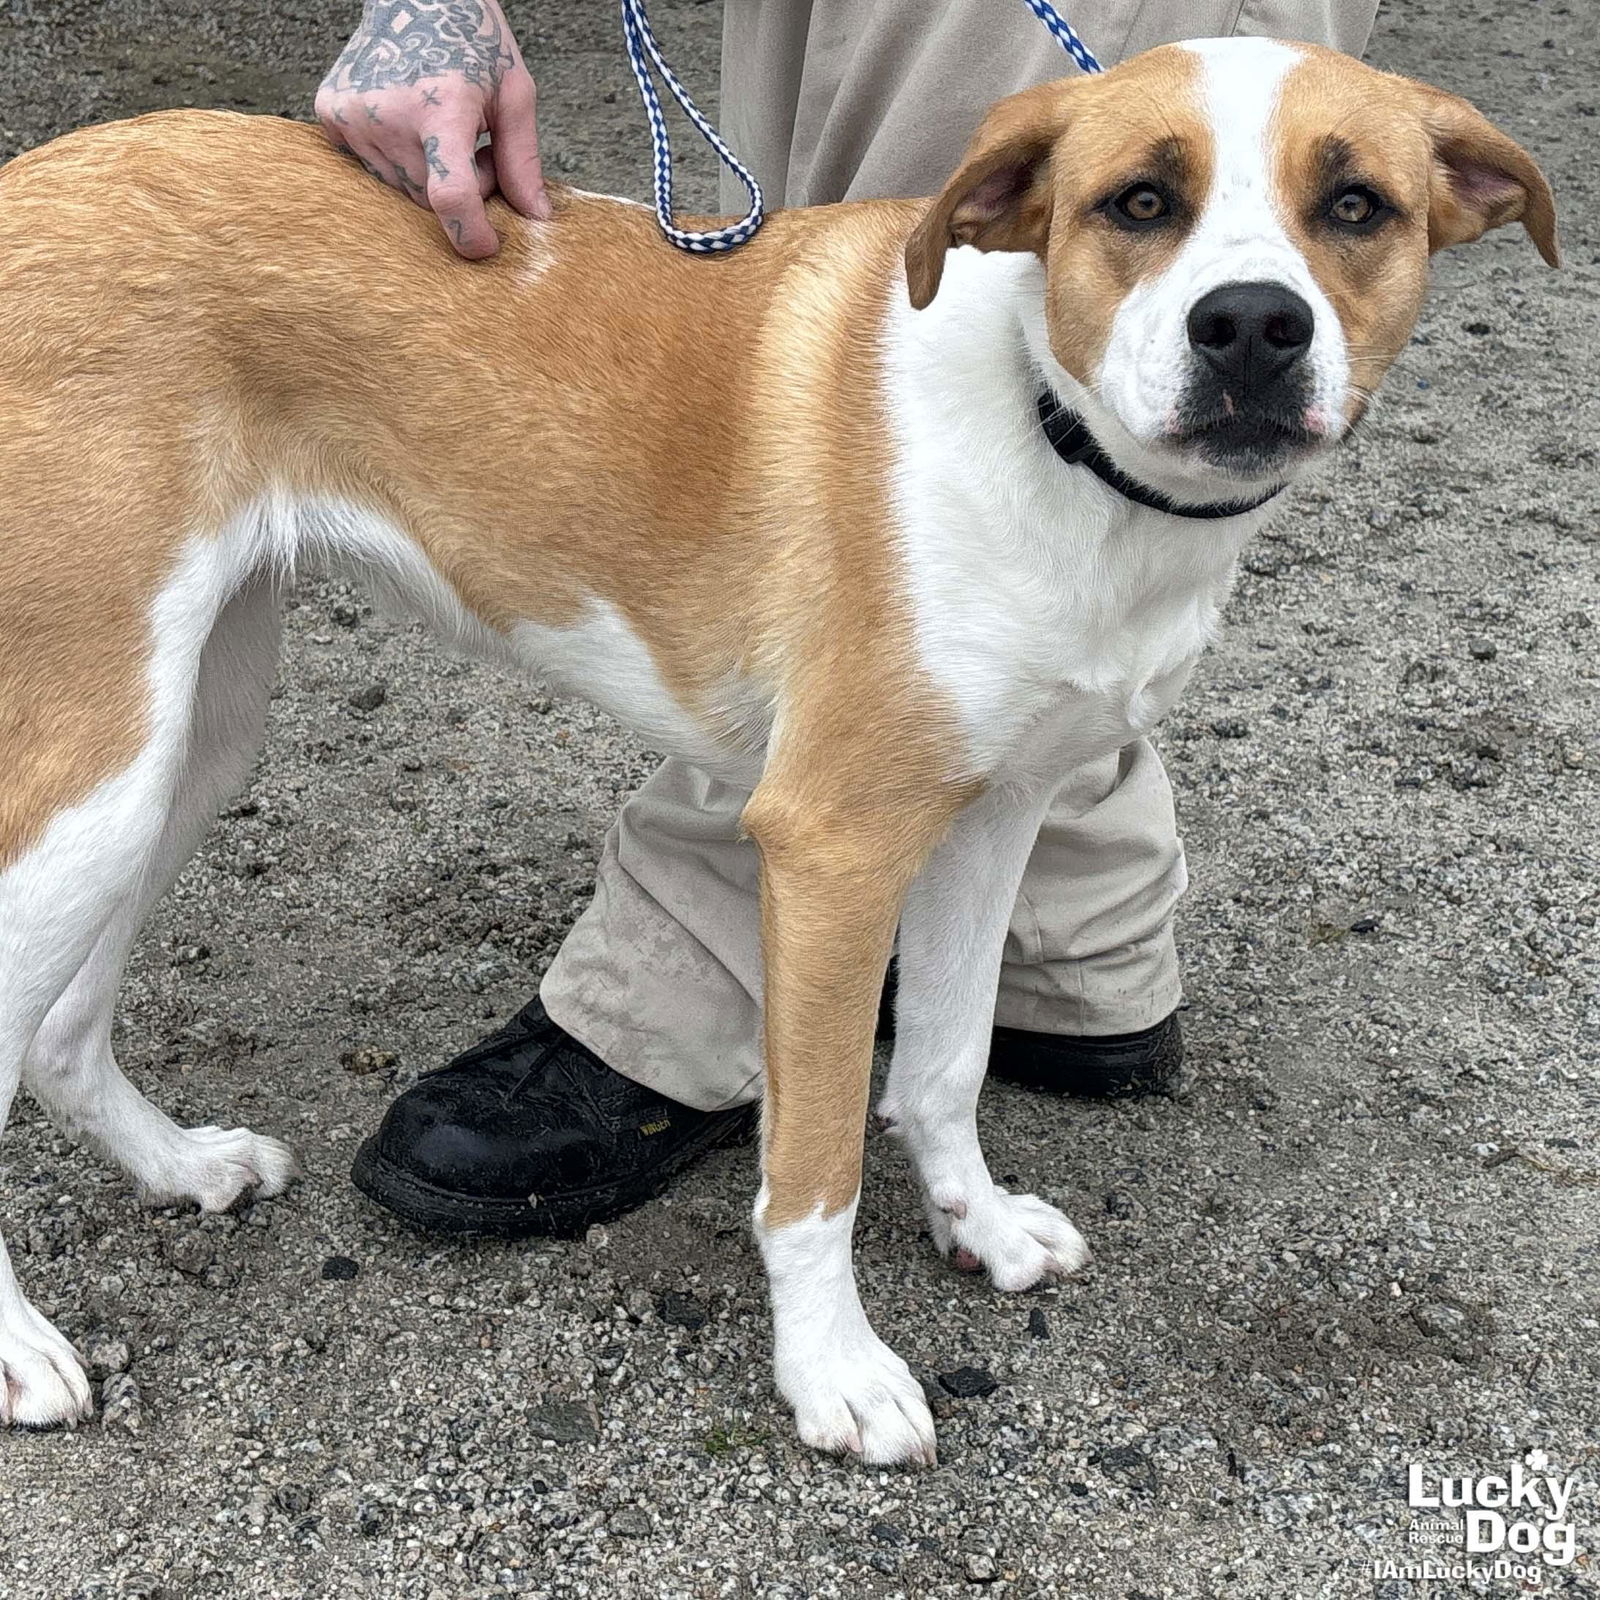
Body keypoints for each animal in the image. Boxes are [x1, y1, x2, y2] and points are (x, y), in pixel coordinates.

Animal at [0, 37, 1548, 1465]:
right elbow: (813, 1167)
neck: (1049, 435)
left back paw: (177, 1165)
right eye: (1140, 201)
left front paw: (976, 1223)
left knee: (61, 1034)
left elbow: (947, 1063)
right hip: (95, 771)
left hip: (180, 750)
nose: (1252, 329)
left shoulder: (997, 814)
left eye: (1355, 206)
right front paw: (834, 1370)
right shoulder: (834, 844)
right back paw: (24, 1352)